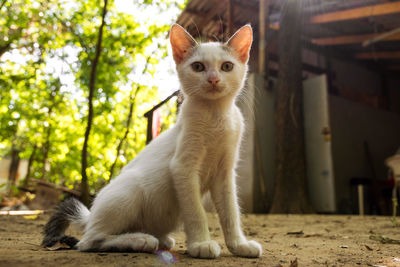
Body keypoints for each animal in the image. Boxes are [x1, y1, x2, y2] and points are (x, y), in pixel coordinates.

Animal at [42, 23, 262, 260]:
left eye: (227, 66)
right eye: (198, 67)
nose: (213, 79)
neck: (216, 115)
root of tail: (90, 216)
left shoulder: (224, 173)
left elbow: (231, 212)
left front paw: (239, 245)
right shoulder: (182, 167)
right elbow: (195, 211)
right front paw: (201, 243)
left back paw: (158, 239)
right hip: (129, 191)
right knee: (89, 240)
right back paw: (139, 240)